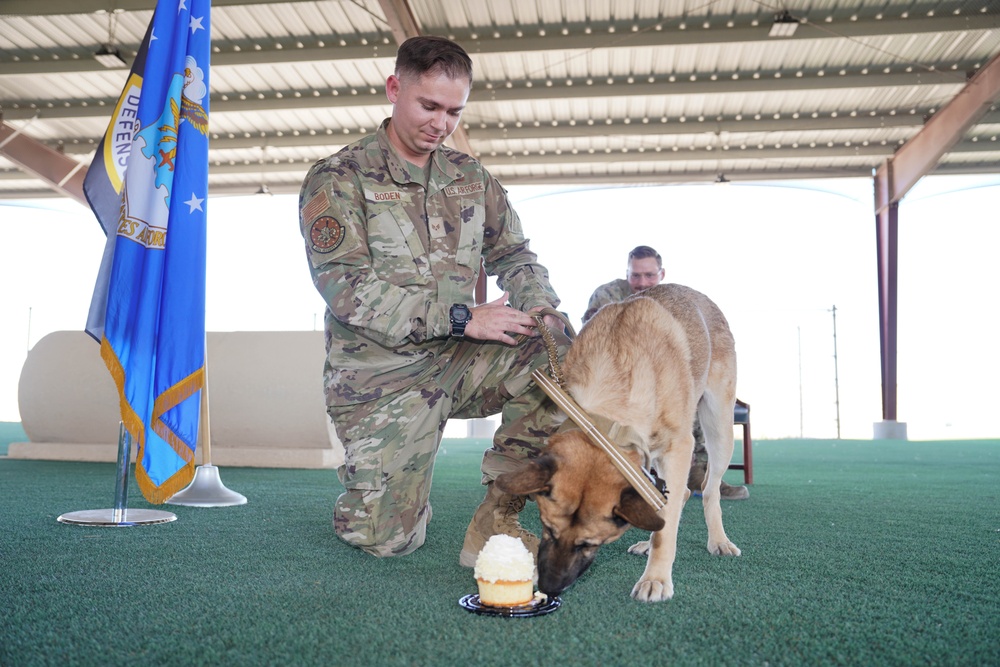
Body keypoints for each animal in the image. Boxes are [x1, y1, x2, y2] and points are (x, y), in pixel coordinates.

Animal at [496, 284, 740, 604]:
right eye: (547, 529)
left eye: (589, 543)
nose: (549, 587)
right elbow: (664, 513)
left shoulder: (679, 447)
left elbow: (666, 528)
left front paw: (656, 578)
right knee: (680, 495)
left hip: (719, 429)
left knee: (708, 490)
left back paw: (719, 540)